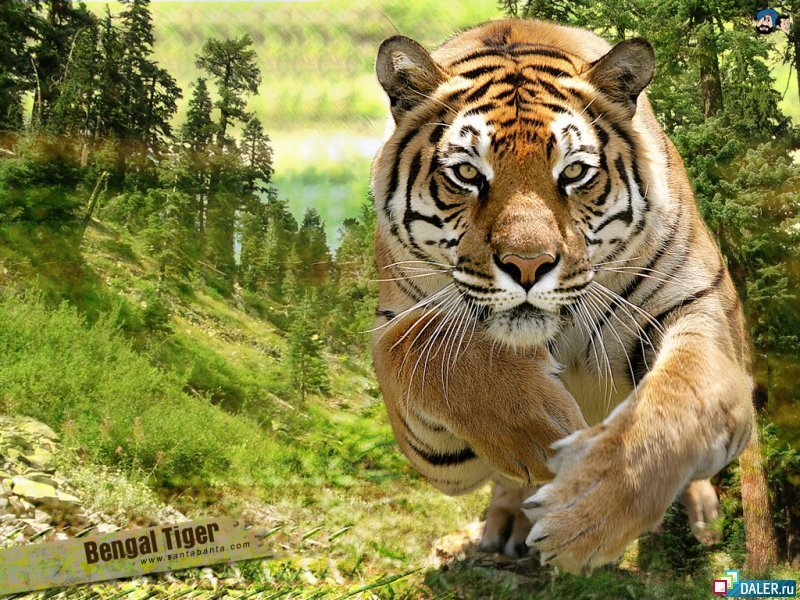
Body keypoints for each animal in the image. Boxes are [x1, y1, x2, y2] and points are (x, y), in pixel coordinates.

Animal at [369, 18, 755, 573]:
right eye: (467, 174)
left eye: (573, 173)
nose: (528, 265)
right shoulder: (405, 355)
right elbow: (423, 347)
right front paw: (544, 434)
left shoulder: (701, 307)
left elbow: (677, 403)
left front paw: (585, 512)